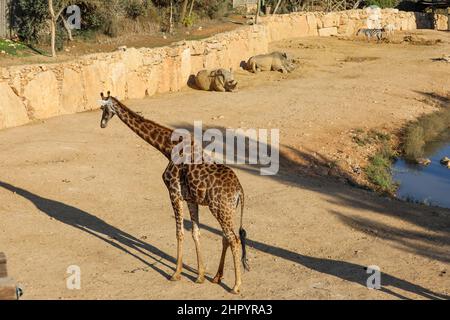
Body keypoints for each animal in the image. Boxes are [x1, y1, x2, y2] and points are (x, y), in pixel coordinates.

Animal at [97, 92, 250, 292]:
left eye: (103, 108)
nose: (102, 124)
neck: (168, 148)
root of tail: (239, 190)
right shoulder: (191, 199)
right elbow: (195, 232)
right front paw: (200, 276)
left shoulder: (174, 193)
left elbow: (179, 233)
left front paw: (176, 274)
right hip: (226, 210)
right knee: (227, 237)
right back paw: (217, 277)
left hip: (220, 209)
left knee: (234, 239)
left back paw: (236, 285)